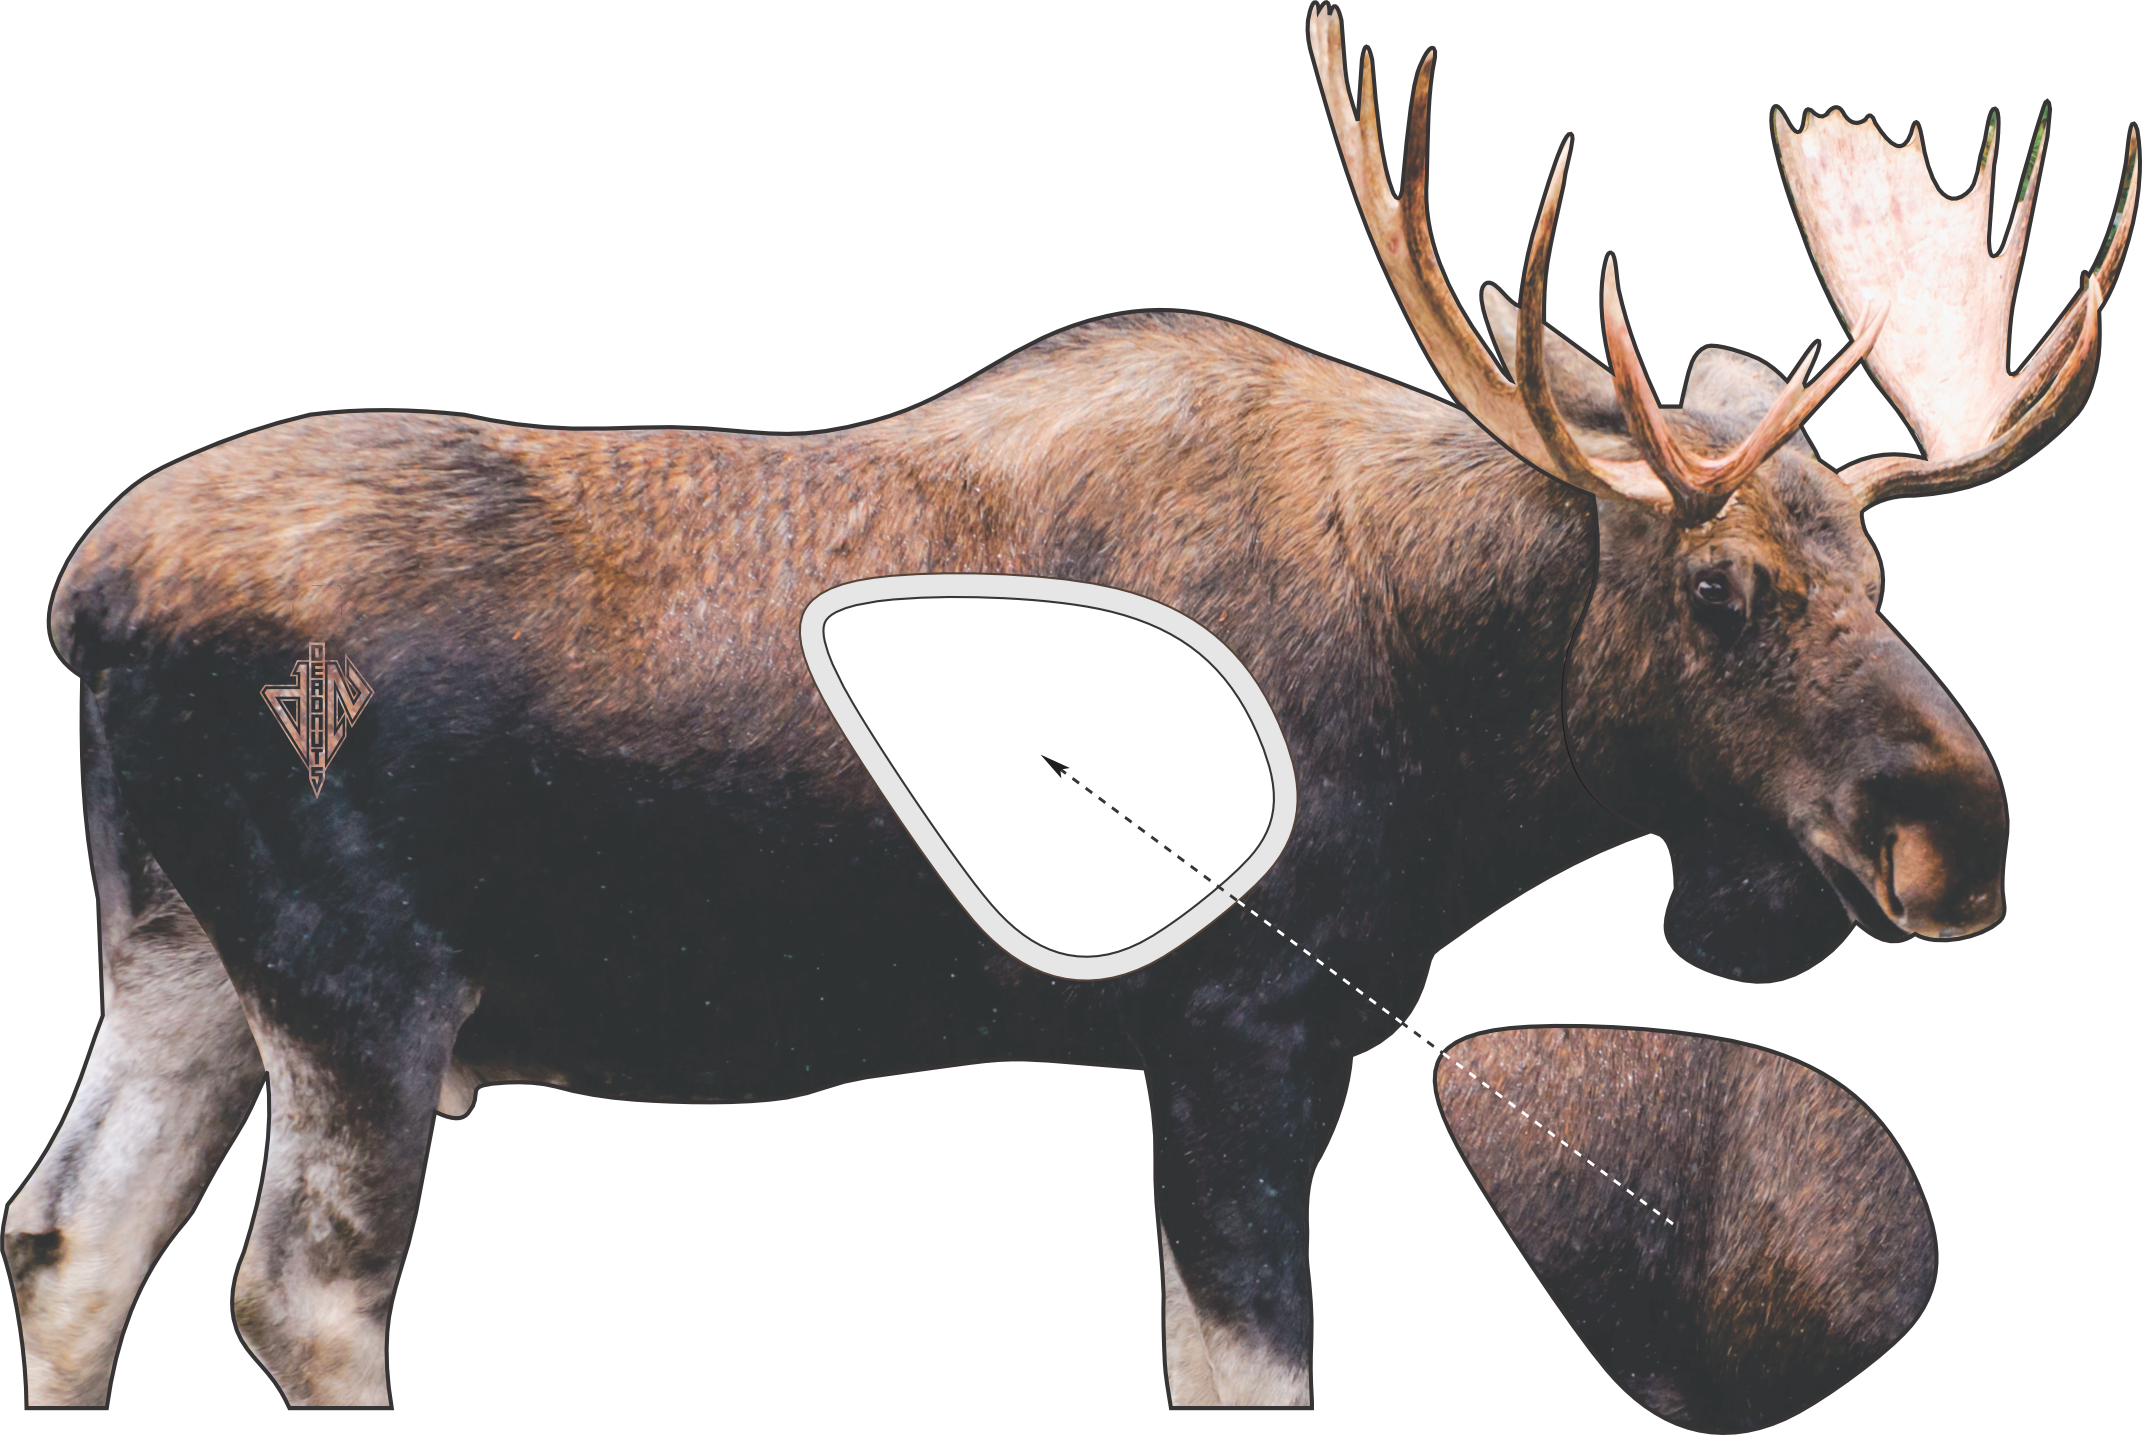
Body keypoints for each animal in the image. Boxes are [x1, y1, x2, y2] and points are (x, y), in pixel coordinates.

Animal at [7, 0, 2133, 1413]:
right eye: (1720, 588)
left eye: (1885, 579)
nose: (1957, 843)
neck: (1470, 731)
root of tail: (86, 599)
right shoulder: (1243, 1029)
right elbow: (1247, 1363)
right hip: (364, 997)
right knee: (303, 1296)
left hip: (175, 964)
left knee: (68, 1245)